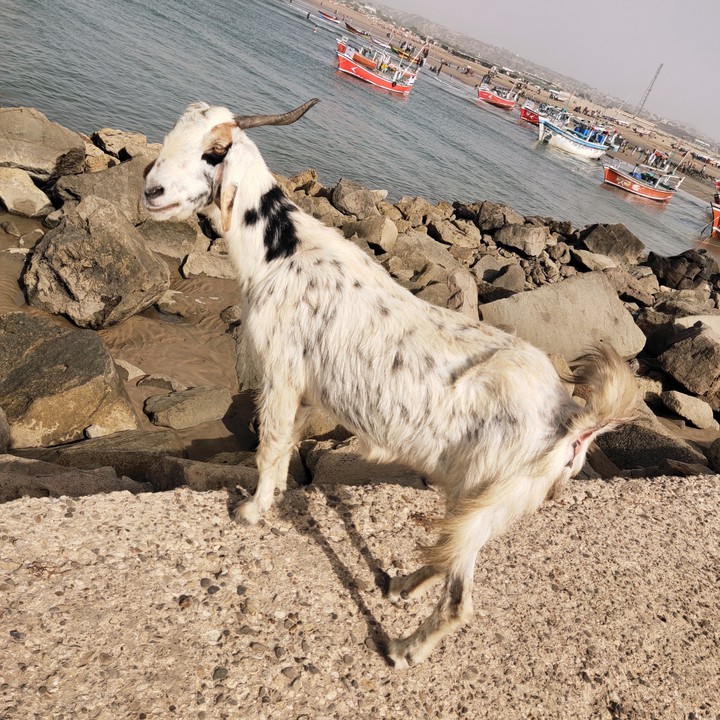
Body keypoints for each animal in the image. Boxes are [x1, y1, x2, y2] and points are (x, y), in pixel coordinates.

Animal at [142, 99, 638, 668]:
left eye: (214, 152)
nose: (151, 190)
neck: (281, 253)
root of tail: (570, 419)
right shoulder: (307, 390)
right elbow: (287, 445)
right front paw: (276, 497)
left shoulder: (281, 371)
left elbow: (269, 445)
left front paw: (250, 511)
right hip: (483, 498)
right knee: (449, 549)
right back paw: (400, 585)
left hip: (489, 489)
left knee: (460, 598)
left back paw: (402, 648)